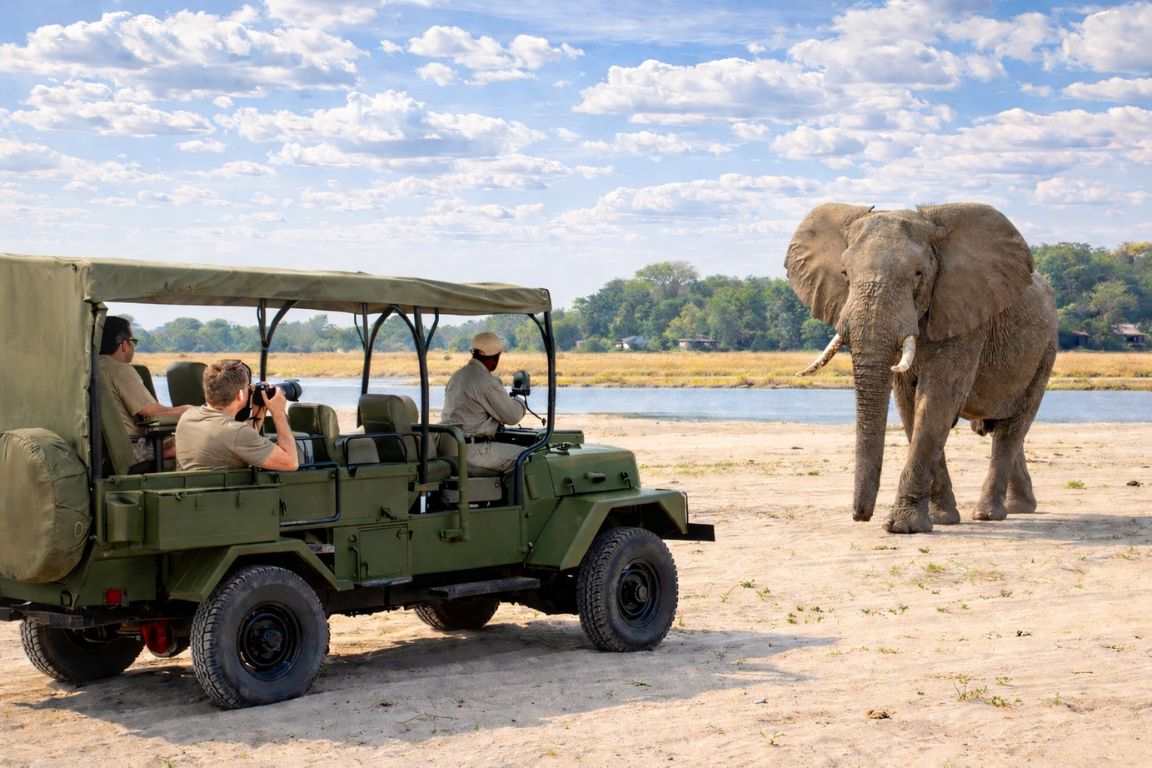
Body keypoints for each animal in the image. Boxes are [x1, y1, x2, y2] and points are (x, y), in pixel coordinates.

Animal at [785, 203, 1058, 534]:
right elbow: (909, 404)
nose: (860, 516)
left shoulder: (964, 313)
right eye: (845, 274)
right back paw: (1019, 508)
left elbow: (937, 400)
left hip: (1045, 351)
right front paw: (942, 519)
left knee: (1011, 428)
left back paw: (989, 514)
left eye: (918, 274)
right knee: (1002, 429)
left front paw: (902, 526)